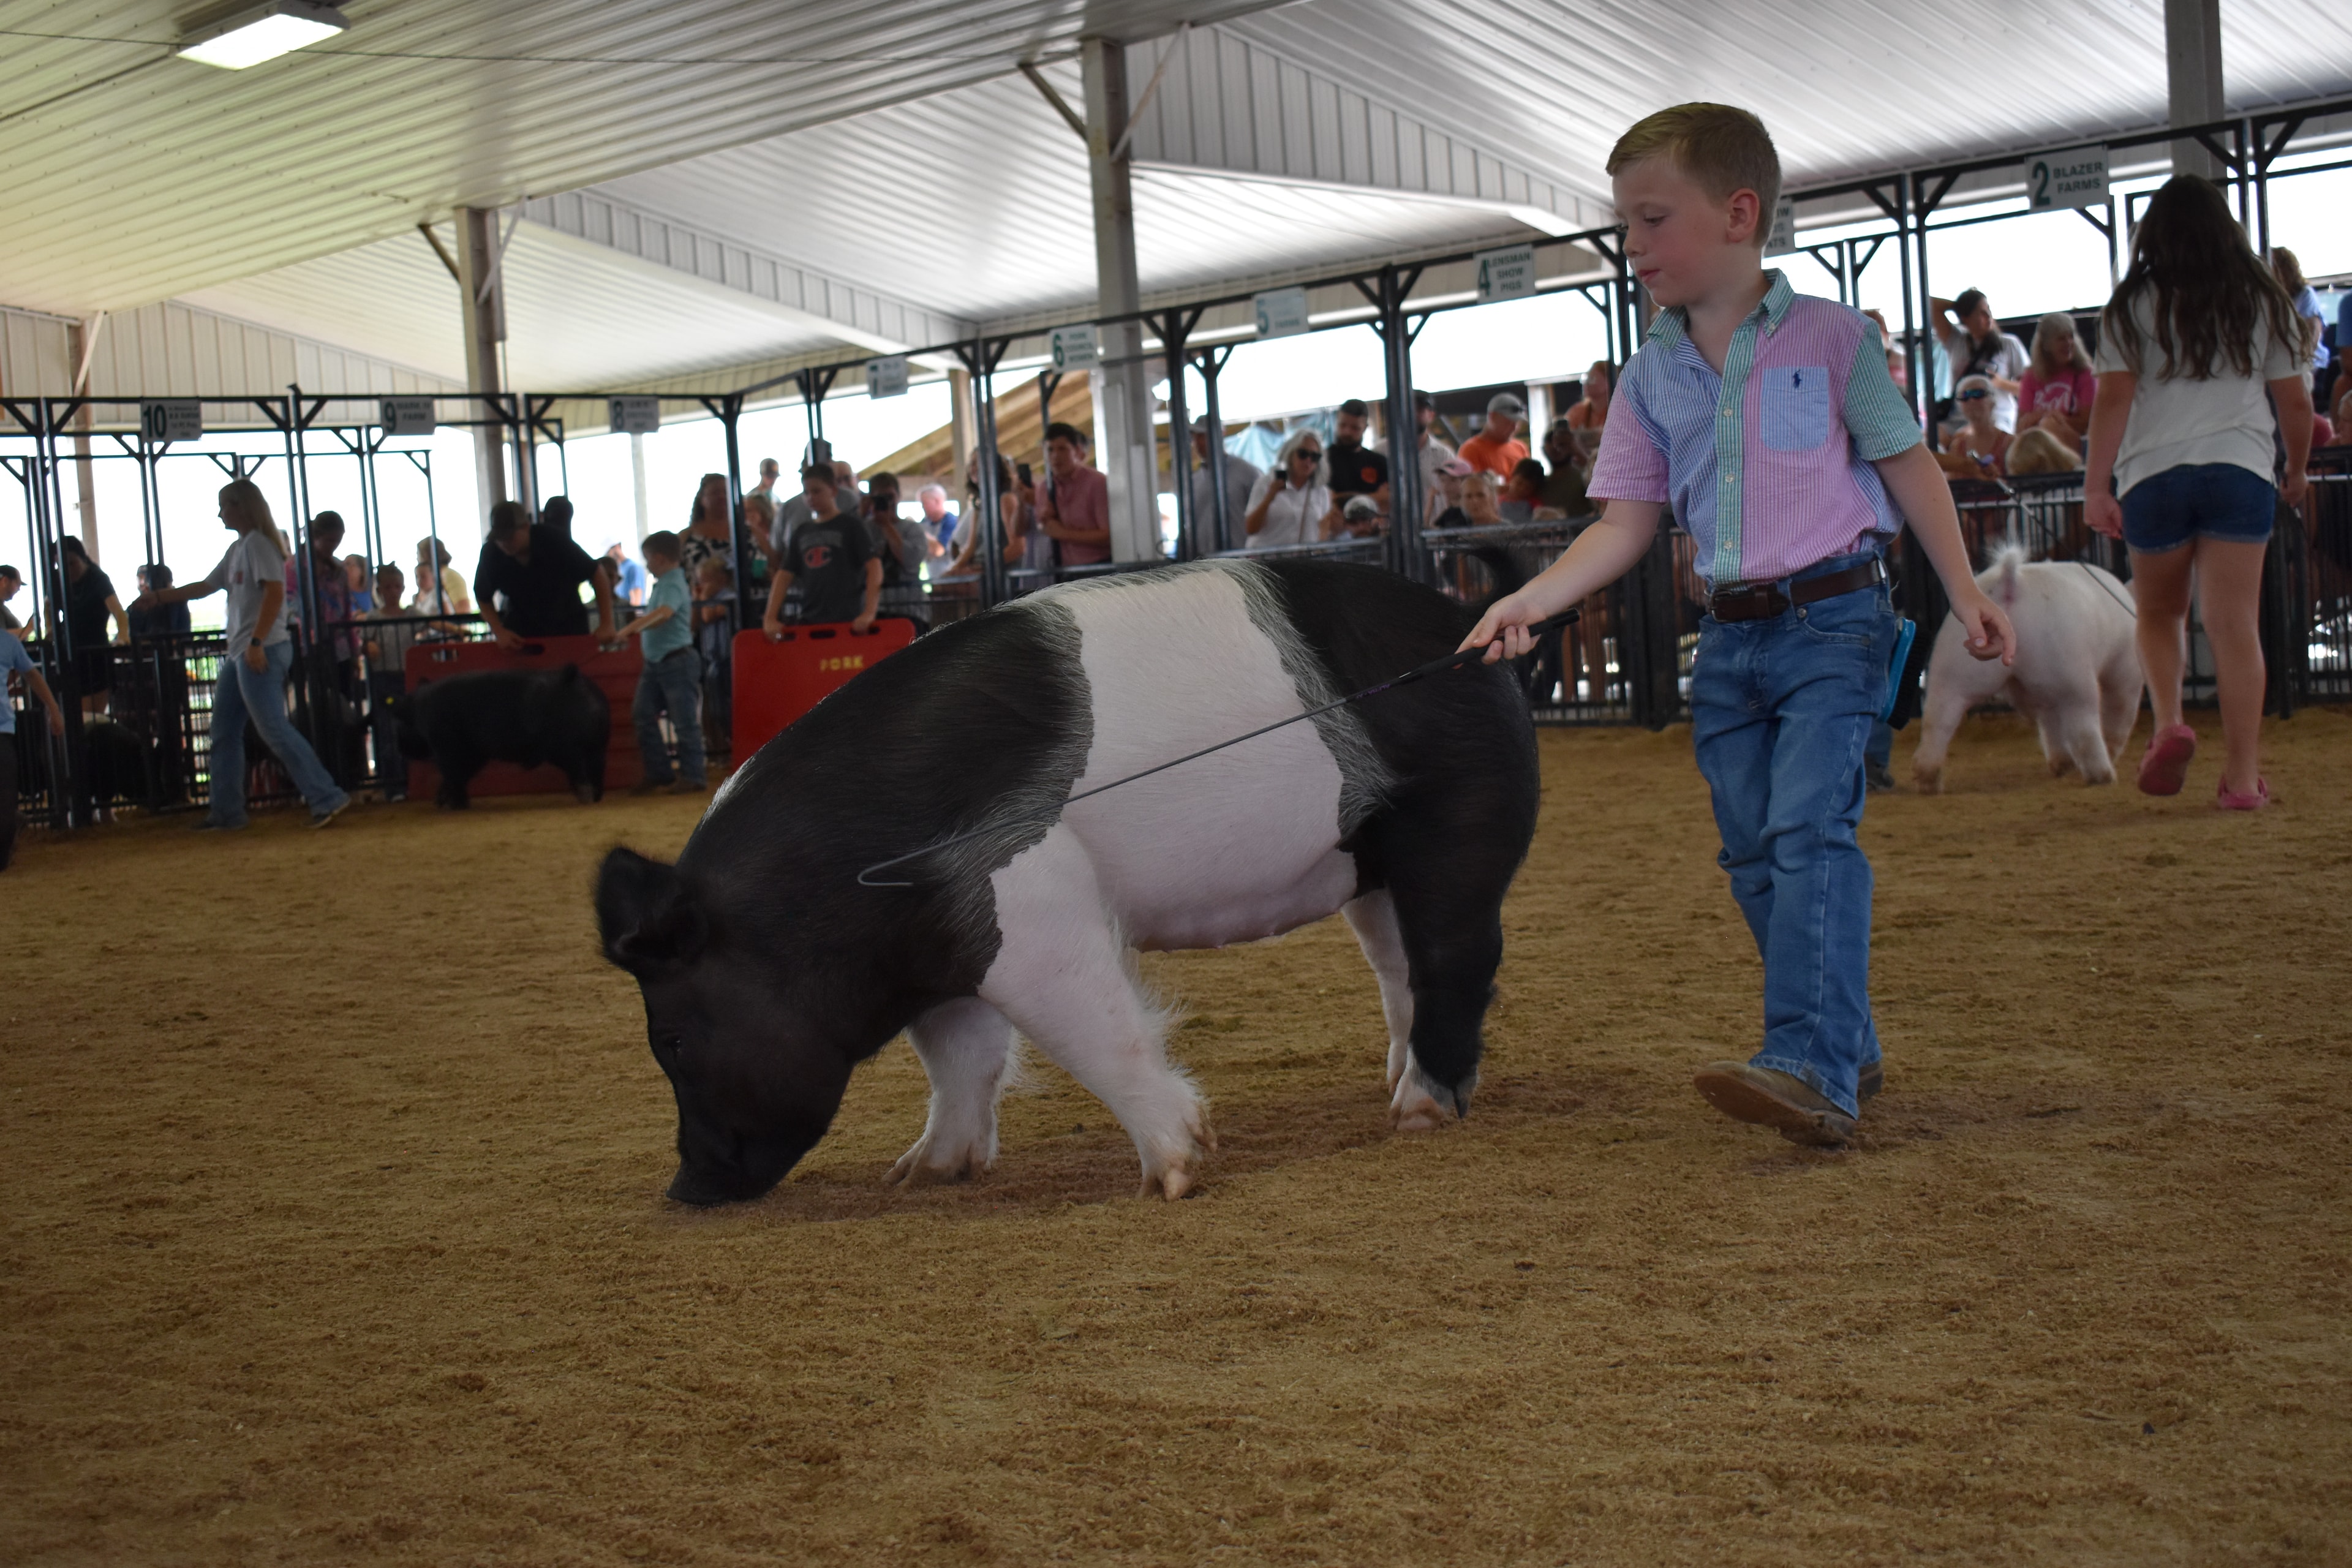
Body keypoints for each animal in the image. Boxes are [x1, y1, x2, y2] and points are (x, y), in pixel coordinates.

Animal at [399, 663, 609, 808]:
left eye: (402, 721)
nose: (401, 748)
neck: (419, 710)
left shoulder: (446, 745)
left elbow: (452, 774)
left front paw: (456, 805)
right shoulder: (476, 755)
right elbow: (459, 775)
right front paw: (442, 801)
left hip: (567, 749)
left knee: (579, 772)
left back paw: (585, 798)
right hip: (598, 747)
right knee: (596, 770)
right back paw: (596, 798)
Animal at [596, 558, 1540, 1205]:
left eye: (670, 1039)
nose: (684, 1188)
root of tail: (1474, 626)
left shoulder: (1025, 903)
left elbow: (1098, 1029)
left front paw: (1176, 1175)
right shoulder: (951, 948)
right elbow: (961, 1058)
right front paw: (921, 1174)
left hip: (1460, 813)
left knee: (1461, 955)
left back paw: (1417, 1112)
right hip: (1370, 859)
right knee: (1397, 966)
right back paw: (1392, 1084)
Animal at [1912, 543, 2142, 792]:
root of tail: (2010, 584)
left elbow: (2050, 726)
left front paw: (2062, 766)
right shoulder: (2127, 668)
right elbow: (2120, 710)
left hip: (1953, 663)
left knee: (1938, 719)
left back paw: (1927, 782)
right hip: (2071, 671)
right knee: (2085, 728)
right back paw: (2104, 777)